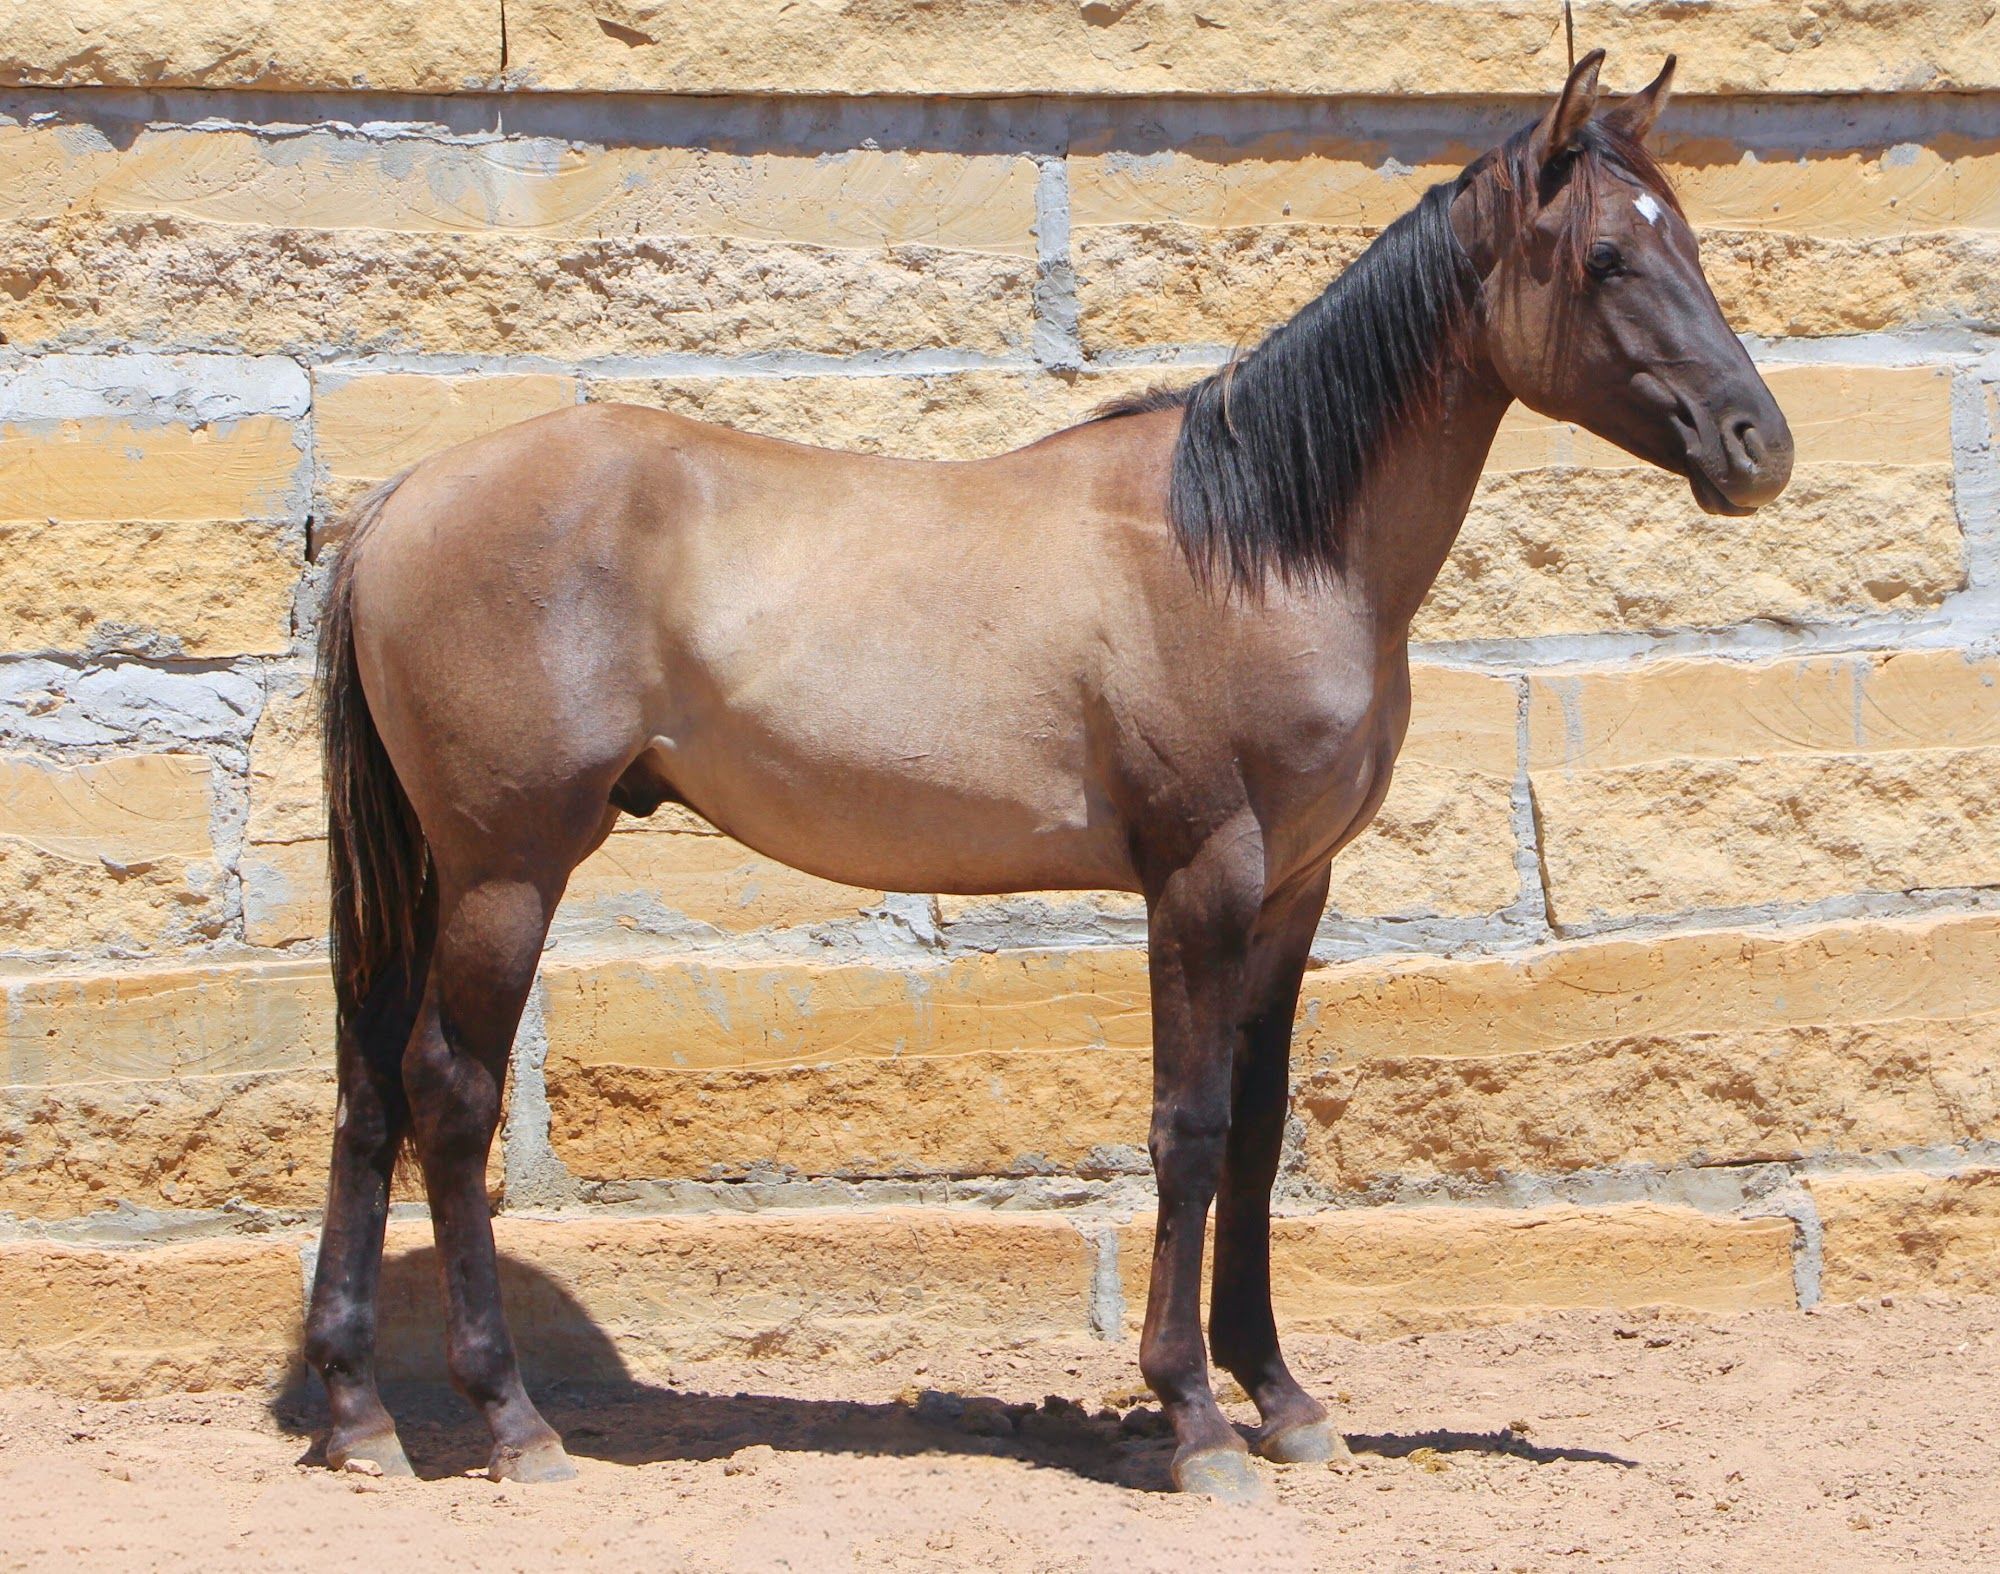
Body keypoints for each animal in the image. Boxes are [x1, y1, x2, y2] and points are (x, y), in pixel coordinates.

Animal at [303, 51, 1793, 1500]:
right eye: (1606, 257)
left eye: (1688, 238)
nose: (1757, 445)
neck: (1257, 544)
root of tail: (398, 503)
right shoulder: (1202, 876)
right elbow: (1187, 1126)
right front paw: (1196, 1419)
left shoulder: (1293, 890)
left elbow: (1257, 1131)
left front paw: (1285, 1401)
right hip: (508, 868)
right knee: (450, 1097)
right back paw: (512, 1421)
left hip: (439, 875)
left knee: (371, 1085)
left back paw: (359, 1414)